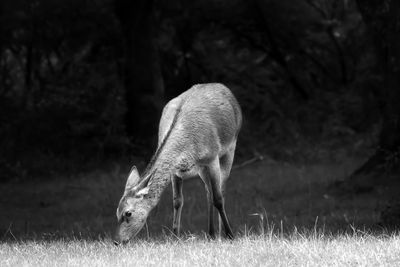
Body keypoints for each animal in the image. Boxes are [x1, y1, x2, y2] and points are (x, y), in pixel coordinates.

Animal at [114, 84, 242, 245]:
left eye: (128, 213)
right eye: (116, 212)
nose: (116, 241)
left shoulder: (212, 157)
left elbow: (218, 199)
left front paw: (231, 235)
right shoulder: (176, 171)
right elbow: (177, 201)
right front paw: (175, 236)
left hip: (230, 149)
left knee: (221, 190)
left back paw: (221, 234)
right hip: (202, 169)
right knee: (208, 192)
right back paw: (211, 233)